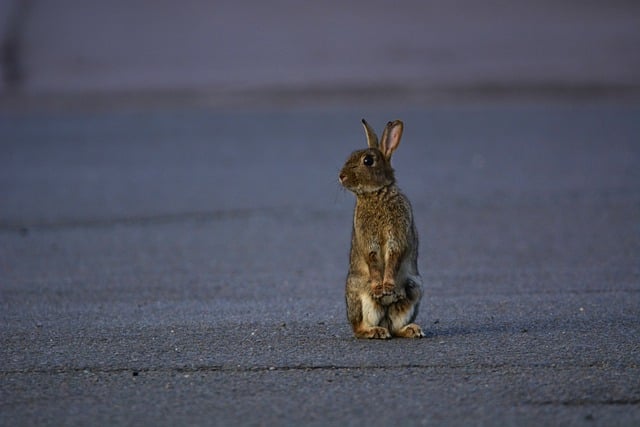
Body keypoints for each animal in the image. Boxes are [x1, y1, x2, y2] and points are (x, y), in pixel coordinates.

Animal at [338, 118, 422, 340]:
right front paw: (379, 289)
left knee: (396, 326)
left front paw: (388, 287)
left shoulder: (397, 235)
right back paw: (376, 330)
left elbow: (393, 257)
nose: (341, 176)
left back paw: (412, 329)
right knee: (360, 328)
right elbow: (374, 260)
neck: (376, 193)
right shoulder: (369, 240)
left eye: (368, 161)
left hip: (415, 289)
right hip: (359, 294)